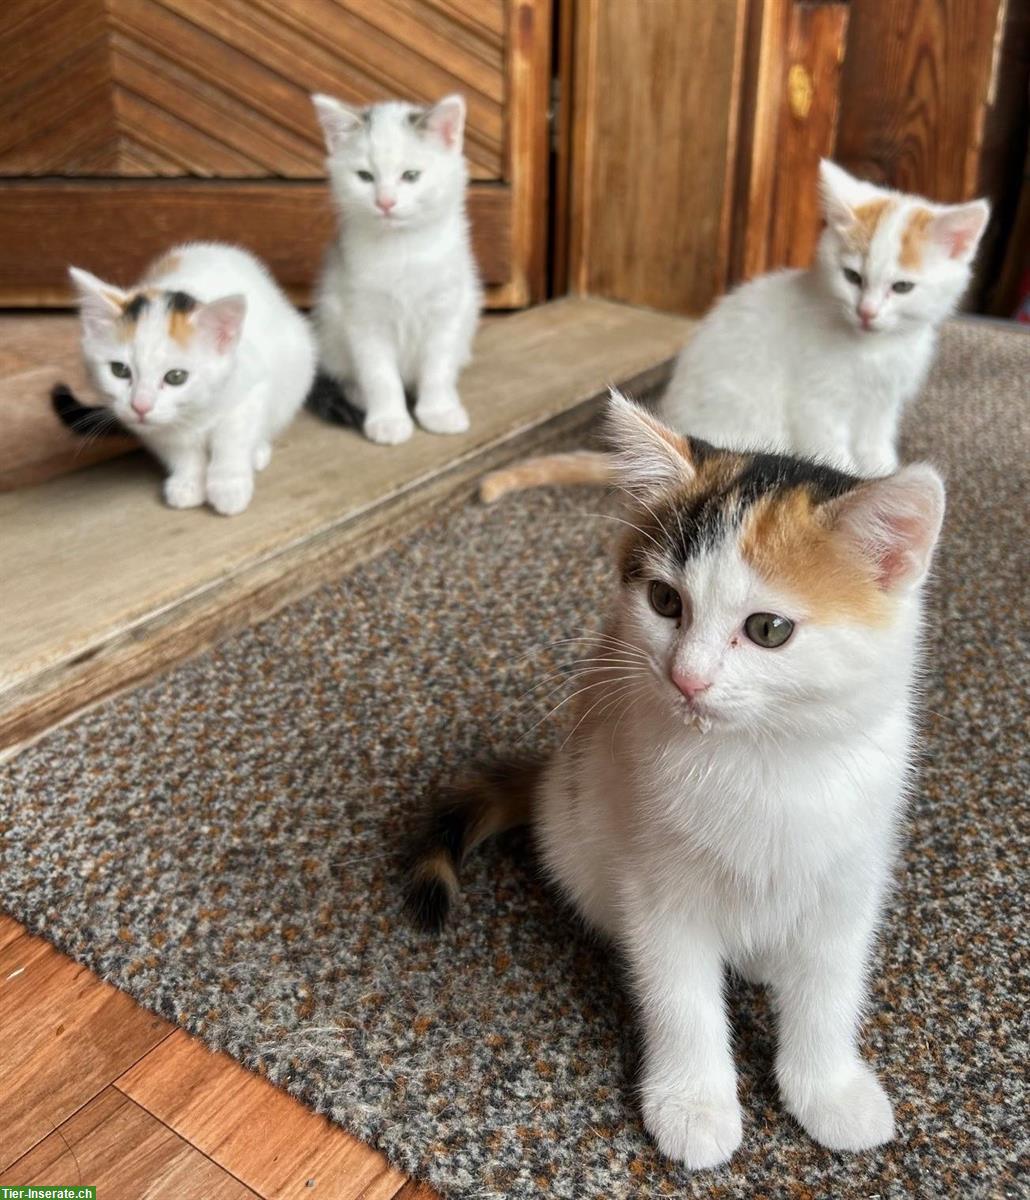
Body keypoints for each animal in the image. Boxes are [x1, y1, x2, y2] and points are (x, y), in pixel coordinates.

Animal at [65, 242, 312, 516]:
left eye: (176, 376)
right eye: (119, 370)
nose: (140, 406)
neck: (195, 414)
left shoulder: (251, 387)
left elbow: (233, 438)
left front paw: (229, 485)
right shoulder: (156, 429)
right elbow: (181, 452)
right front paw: (188, 483)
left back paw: (258, 451)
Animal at [309, 90, 482, 446]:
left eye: (411, 176)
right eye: (364, 176)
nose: (385, 202)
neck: (403, 248)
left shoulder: (447, 307)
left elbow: (438, 365)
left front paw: (439, 411)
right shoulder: (362, 316)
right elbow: (379, 375)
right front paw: (388, 420)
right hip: (330, 325)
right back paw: (357, 394)